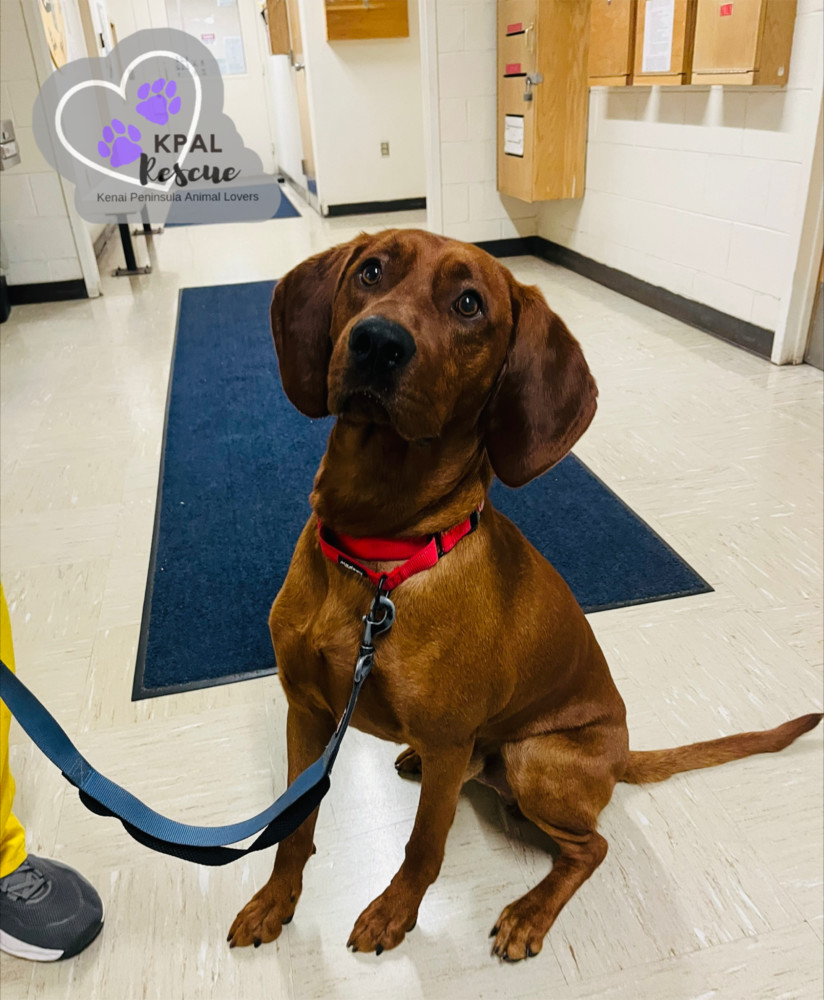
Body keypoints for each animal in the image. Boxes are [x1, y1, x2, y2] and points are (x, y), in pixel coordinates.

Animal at [227, 227, 824, 960]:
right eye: (370, 271)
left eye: (469, 303)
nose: (377, 342)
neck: (378, 558)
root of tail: (621, 755)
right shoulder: (307, 711)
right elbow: (293, 831)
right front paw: (273, 901)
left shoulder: (445, 739)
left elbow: (424, 848)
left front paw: (395, 912)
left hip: (533, 758)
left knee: (590, 848)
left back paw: (528, 914)